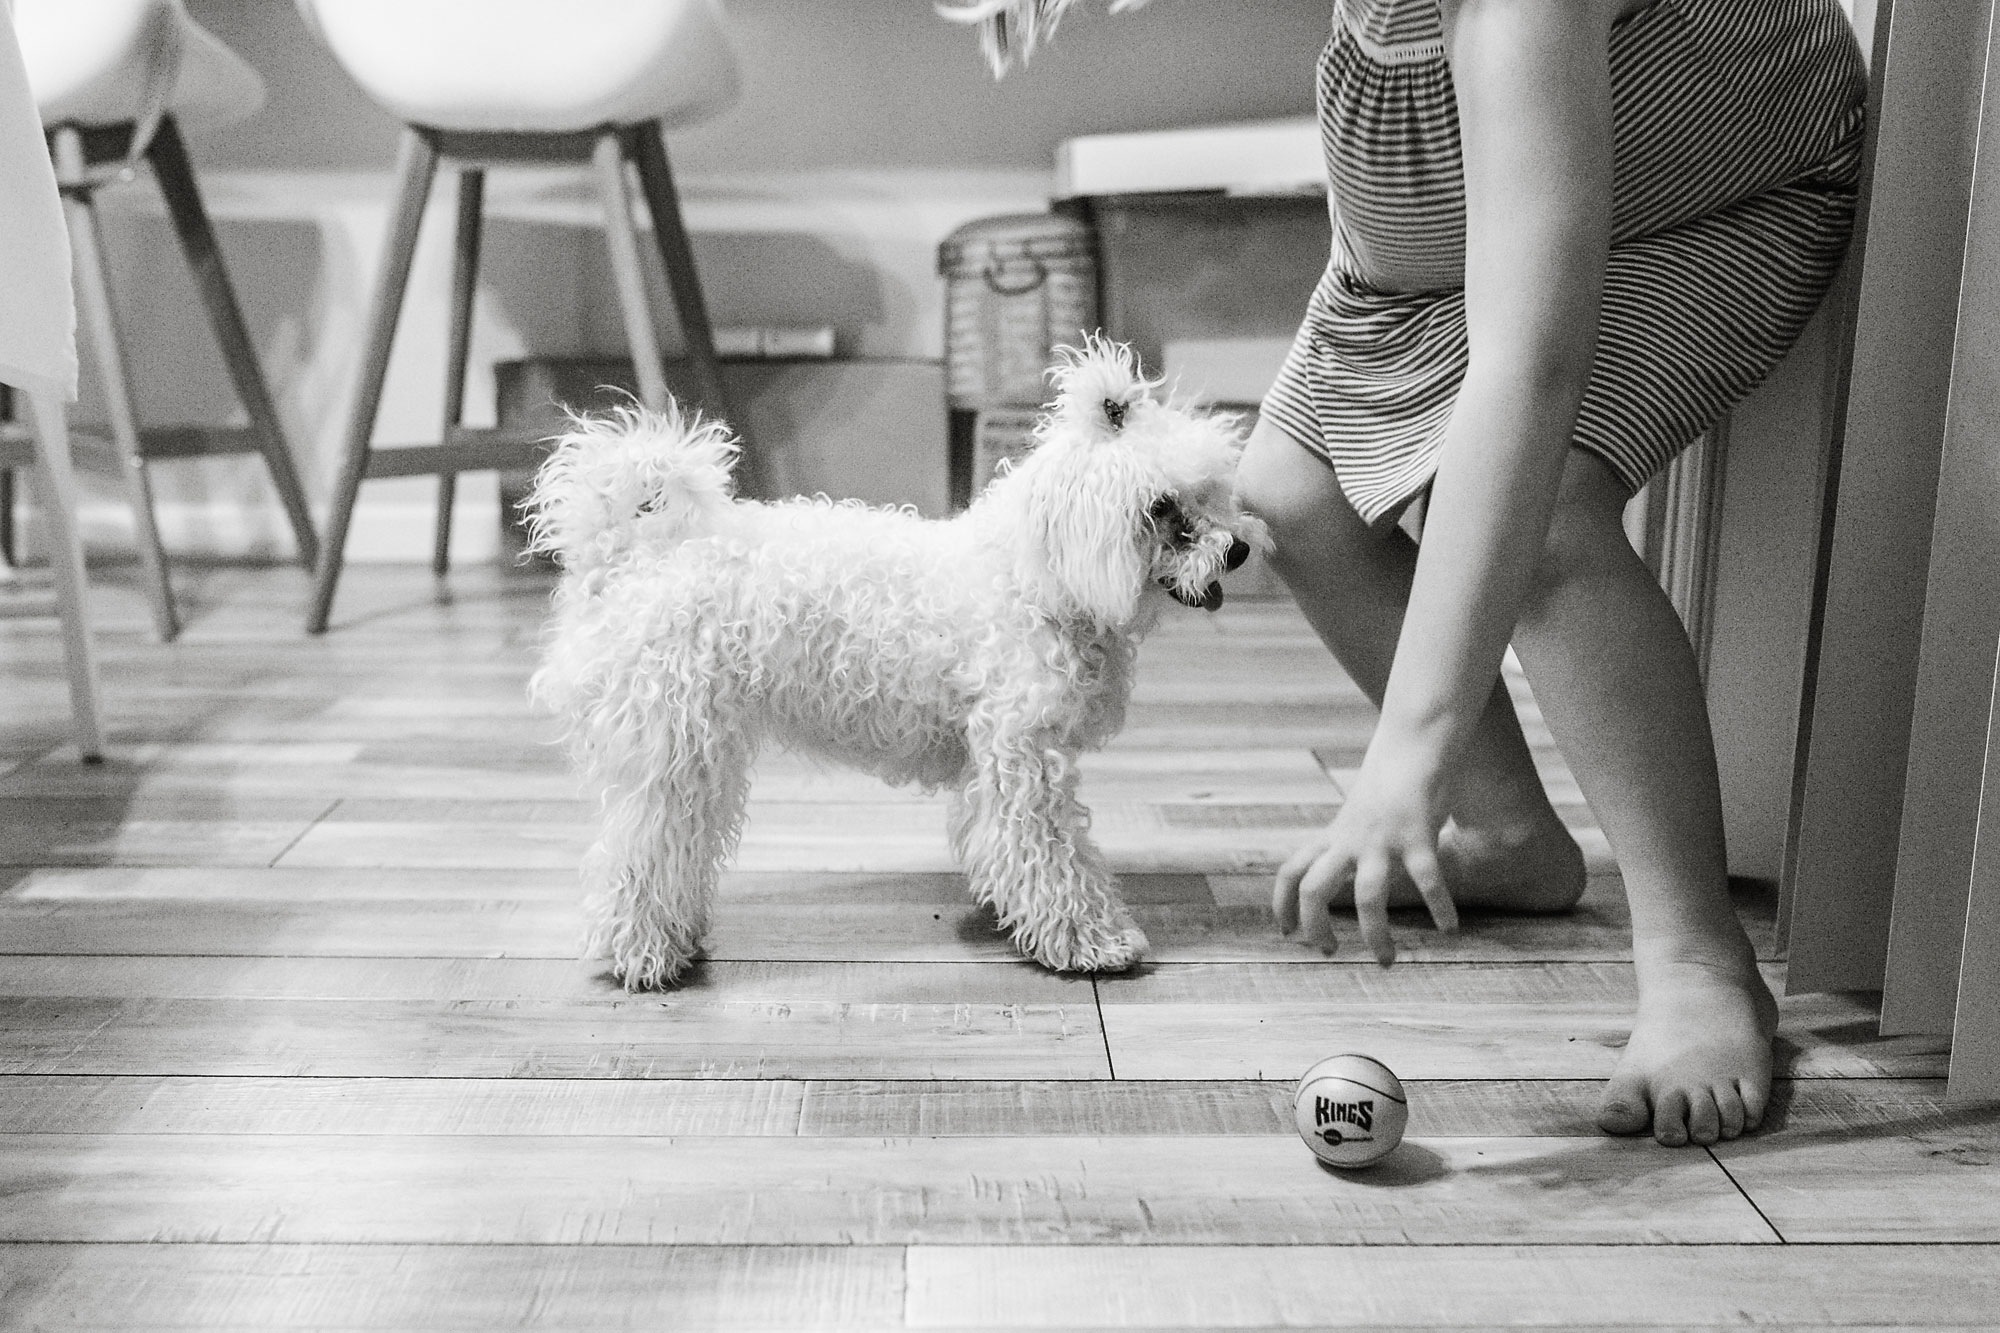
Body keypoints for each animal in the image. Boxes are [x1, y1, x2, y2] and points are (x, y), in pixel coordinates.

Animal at [528, 342, 1264, 984]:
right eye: (1161, 508)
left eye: (1211, 491)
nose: (1237, 552)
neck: (1033, 577)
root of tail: (627, 554)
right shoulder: (1023, 757)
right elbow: (1053, 857)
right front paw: (1091, 942)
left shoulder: (988, 761)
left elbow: (994, 841)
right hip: (673, 748)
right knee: (641, 854)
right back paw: (645, 953)